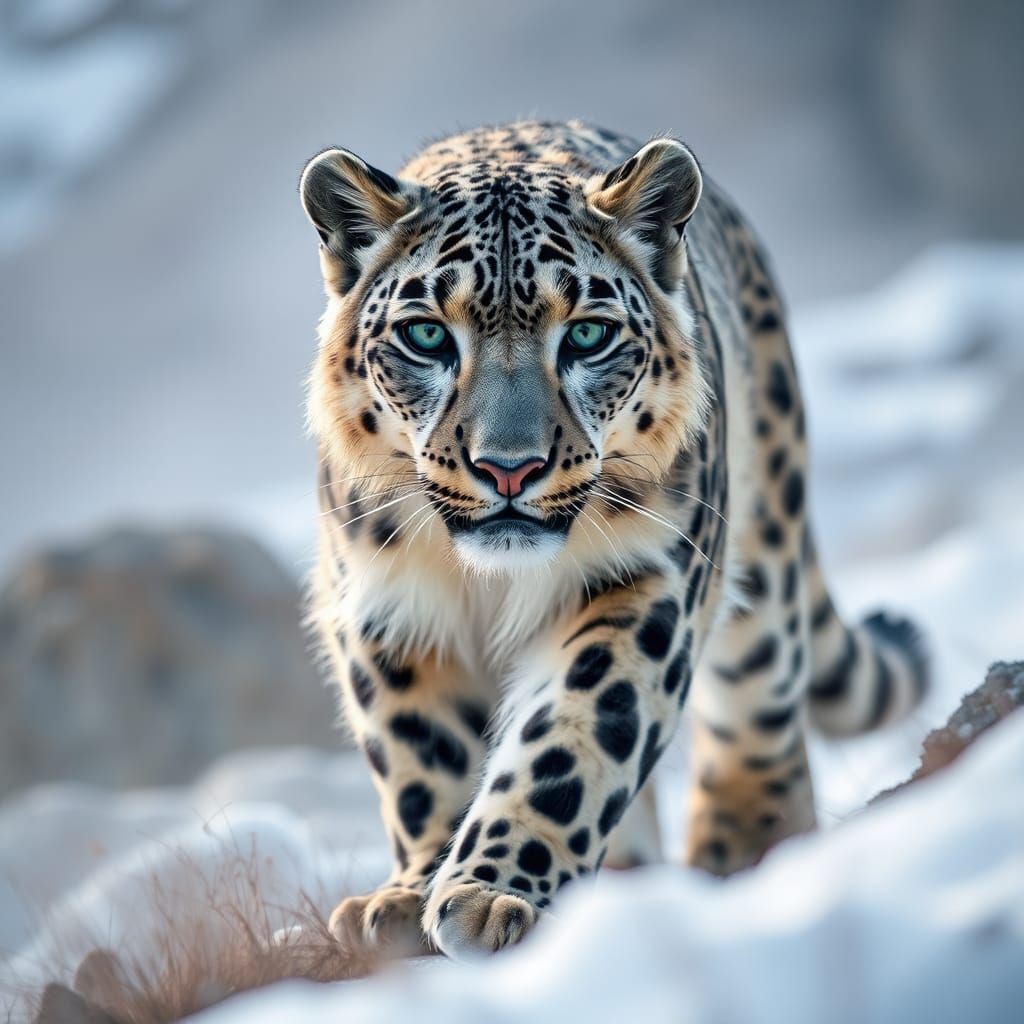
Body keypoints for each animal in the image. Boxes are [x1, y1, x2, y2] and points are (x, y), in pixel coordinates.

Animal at [298, 120, 928, 962]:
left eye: (589, 335)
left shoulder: (644, 582)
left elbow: (577, 731)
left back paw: (742, 852)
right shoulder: (389, 611)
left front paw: (490, 892)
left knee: (760, 707)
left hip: (763, 558)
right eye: (426, 335)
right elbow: (424, 756)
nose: (508, 467)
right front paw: (408, 896)